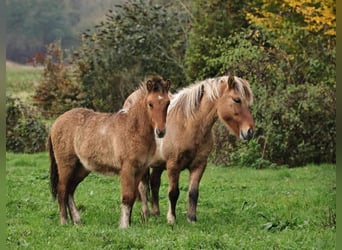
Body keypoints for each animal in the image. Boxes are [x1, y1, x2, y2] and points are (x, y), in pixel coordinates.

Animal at [47, 76, 170, 229]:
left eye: (167, 103)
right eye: (150, 104)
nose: (161, 132)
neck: (134, 129)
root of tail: (55, 123)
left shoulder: (140, 169)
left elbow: (133, 196)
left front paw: (129, 223)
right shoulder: (127, 169)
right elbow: (127, 196)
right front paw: (124, 226)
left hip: (82, 168)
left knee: (70, 190)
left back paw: (77, 221)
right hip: (66, 165)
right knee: (62, 189)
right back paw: (64, 221)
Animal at [123, 75, 254, 224]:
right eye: (237, 99)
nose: (250, 131)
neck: (188, 124)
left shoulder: (199, 165)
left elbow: (193, 193)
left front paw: (191, 218)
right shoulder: (173, 165)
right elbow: (173, 193)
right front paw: (171, 219)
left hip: (158, 165)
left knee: (154, 183)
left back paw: (156, 213)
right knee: (143, 187)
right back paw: (145, 214)